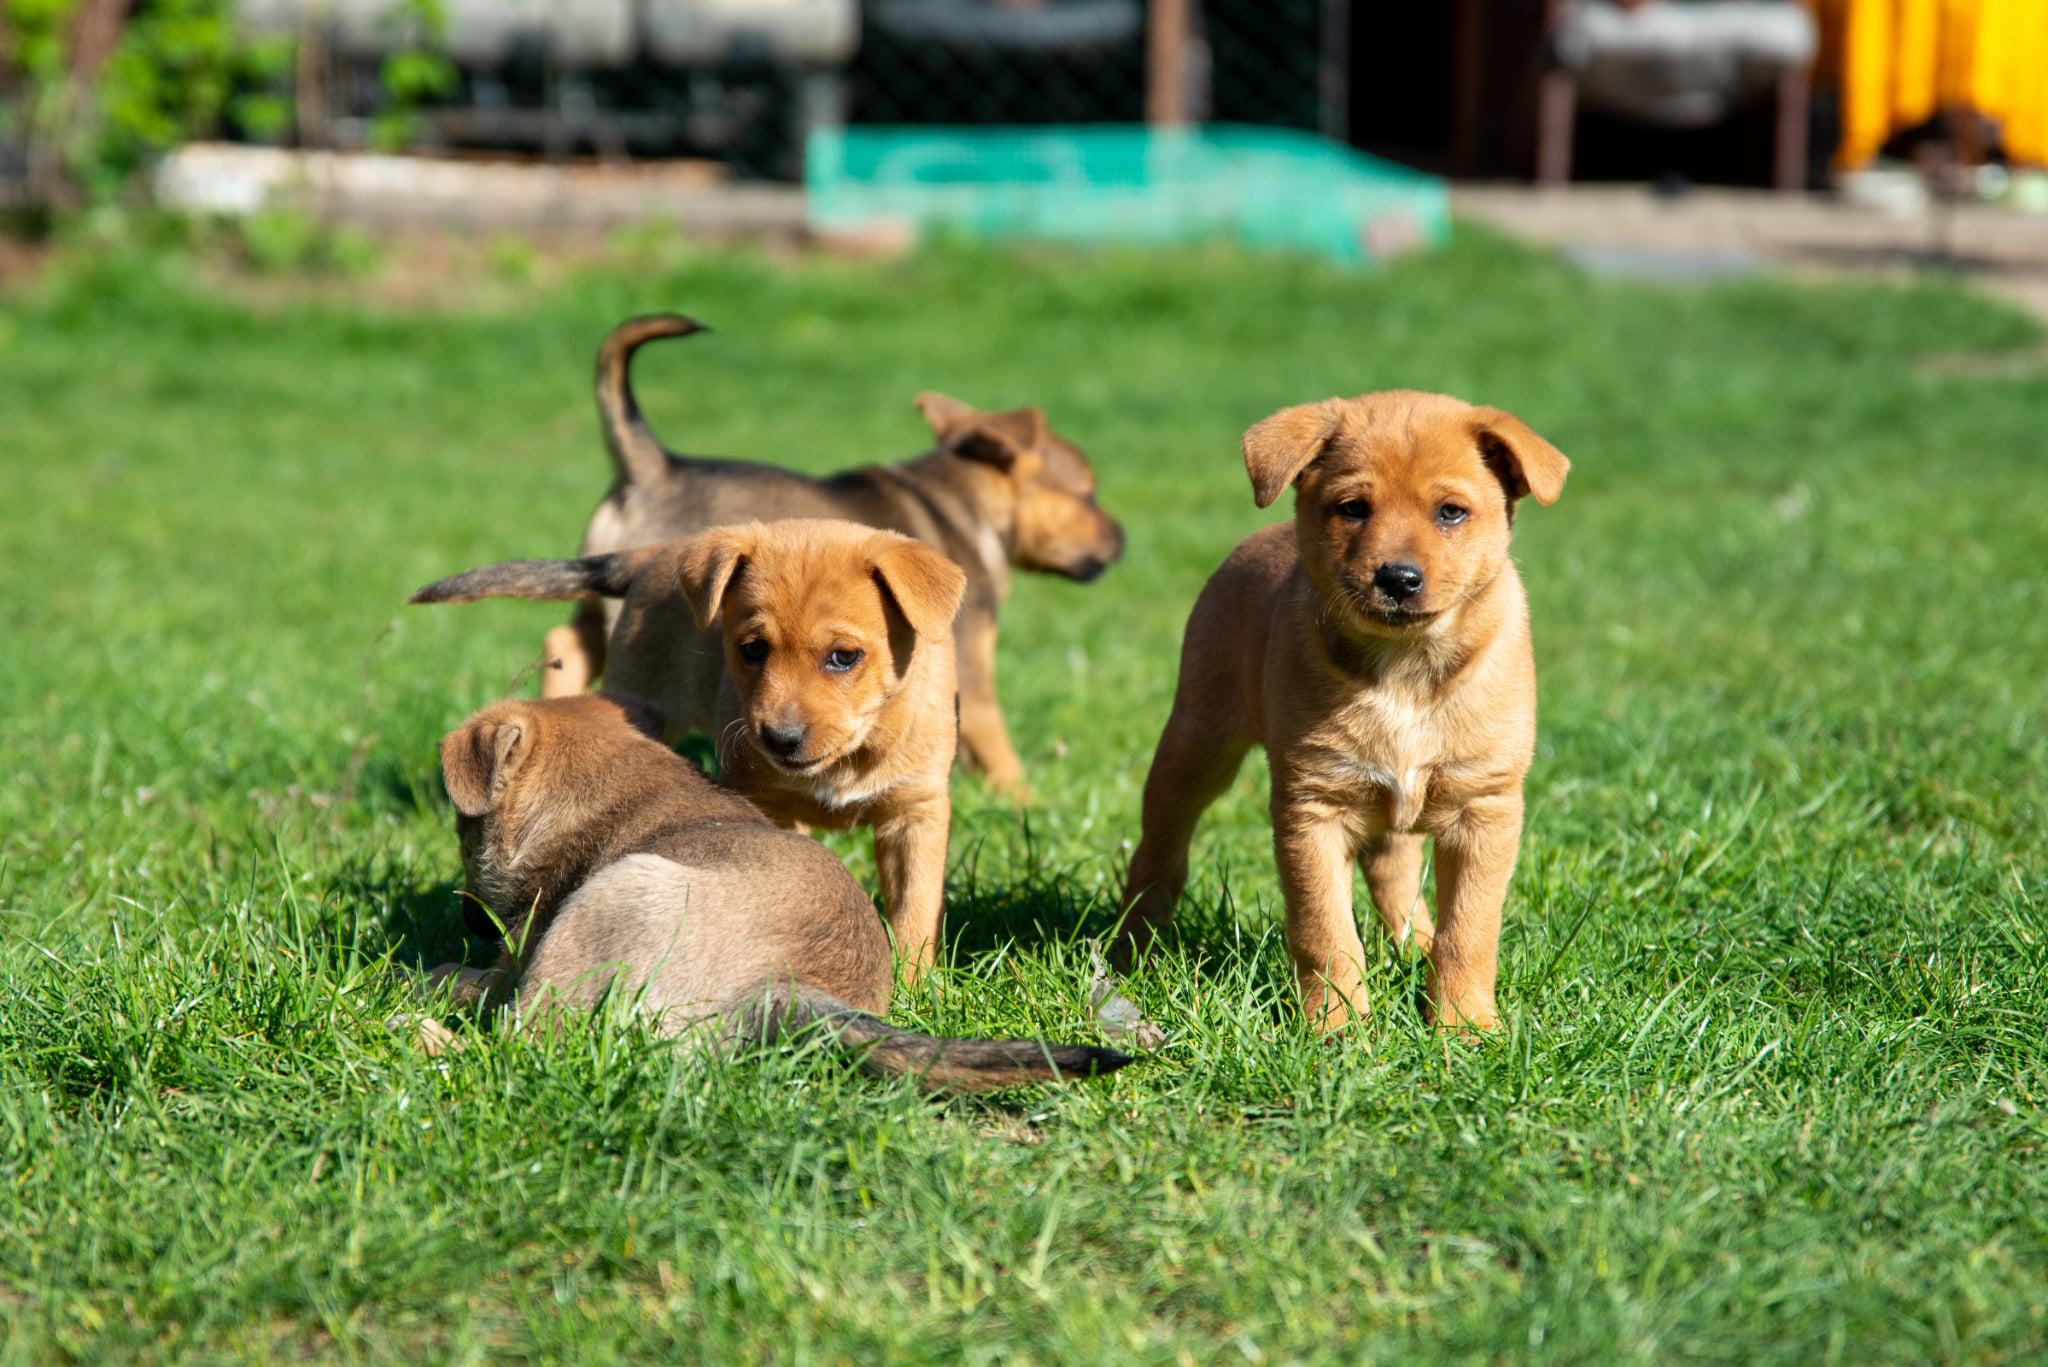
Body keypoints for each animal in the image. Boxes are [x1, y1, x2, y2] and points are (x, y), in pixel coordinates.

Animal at [414, 519, 967, 977]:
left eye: (844, 657)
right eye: (752, 650)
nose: (780, 739)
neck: (851, 756)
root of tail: (658, 552)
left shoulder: (916, 812)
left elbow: (914, 910)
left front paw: (917, 989)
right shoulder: (768, 800)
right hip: (641, 700)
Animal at [415, 693, 1132, 1090]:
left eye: (461, 830)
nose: (468, 918)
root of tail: (780, 988)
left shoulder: (520, 952)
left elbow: (472, 977)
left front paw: (433, 976)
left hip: (617, 893)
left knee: (518, 1043)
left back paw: (424, 1033)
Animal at [539, 314, 1124, 796]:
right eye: (1089, 495)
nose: (1121, 538)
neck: (959, 500)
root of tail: (652, 468)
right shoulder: (973, 664)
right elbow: (999, 747)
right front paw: (1026, 805)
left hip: (600, 605)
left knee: (564, 642)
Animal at [1118, 392, 1570, 1033]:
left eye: (1451, 512)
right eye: (1353, 508)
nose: (1398, 578)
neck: (1405, 672)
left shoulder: (1484, 805)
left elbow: (1470, 930)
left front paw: (1462, 1025)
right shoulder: (1312, 807)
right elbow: (1325, 931)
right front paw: (1336, 1027)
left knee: (1395, 875)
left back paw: (1415, 949)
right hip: (1194, 744)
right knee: (1159, 853)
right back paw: (1129, 953)